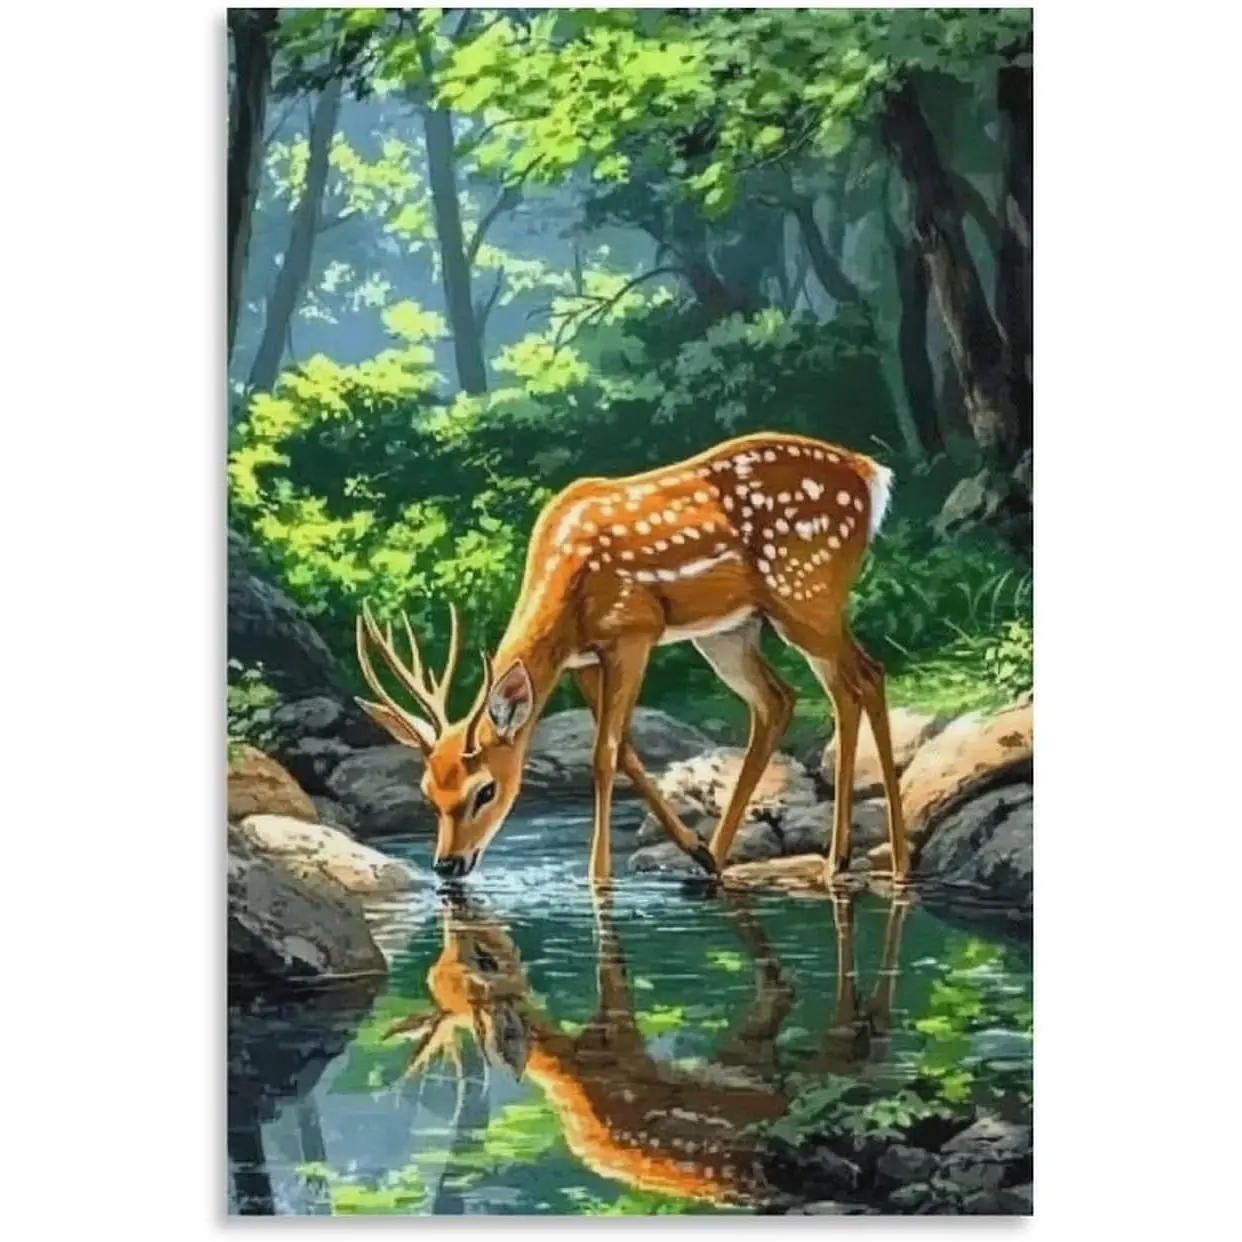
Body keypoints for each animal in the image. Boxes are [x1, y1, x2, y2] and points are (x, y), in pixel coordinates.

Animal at [353, 431, 910, 886]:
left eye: (485, 791)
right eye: (428, 791)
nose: (447, 865)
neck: (567, 592)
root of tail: (871, 474)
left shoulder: (632, 631)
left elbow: (604, 754)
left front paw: (598, 879)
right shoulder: (582, 660)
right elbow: (626, 753)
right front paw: (694, 849)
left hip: (804, 591)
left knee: (867, 674)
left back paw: (894, 863)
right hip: (734, 629)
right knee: (790, 697)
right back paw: (746, 859)